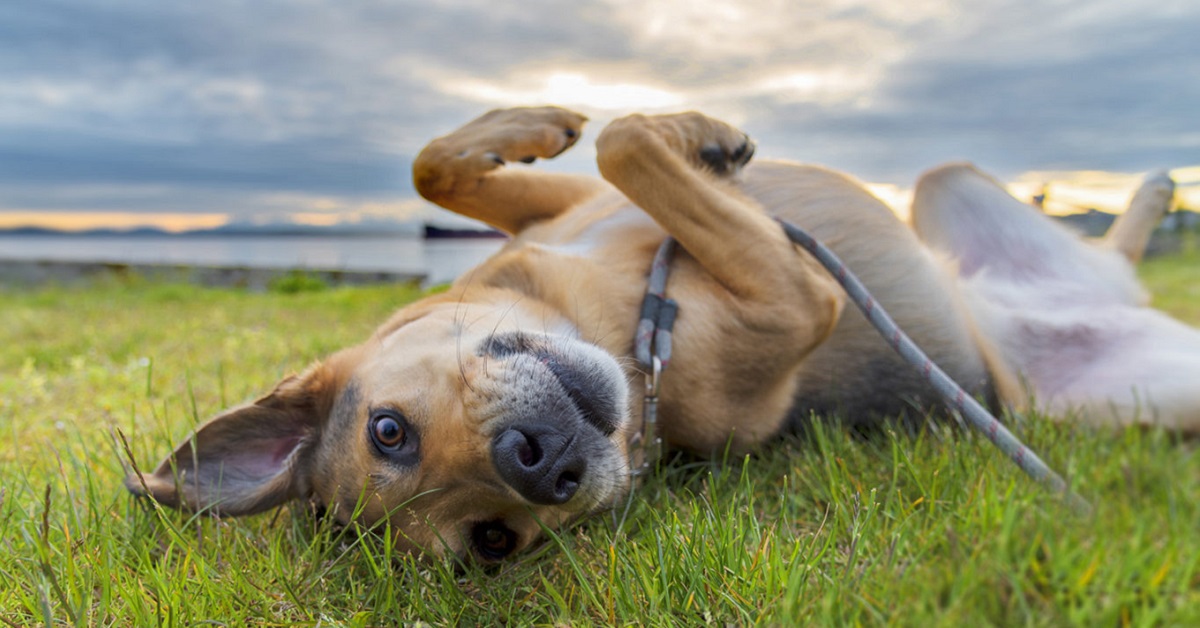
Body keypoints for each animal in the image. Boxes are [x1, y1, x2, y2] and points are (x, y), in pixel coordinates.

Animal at [126, 105, 1195, 561]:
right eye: (493, 542)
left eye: (387, 430)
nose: (539, 464)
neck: (612, 316)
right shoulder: (797, 297)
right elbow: (629, 146)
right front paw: (689, 134)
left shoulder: (566, 209)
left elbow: (460, 164)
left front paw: (557, 120)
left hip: (945, 186)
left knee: (1107, 246)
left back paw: (1150, 192)